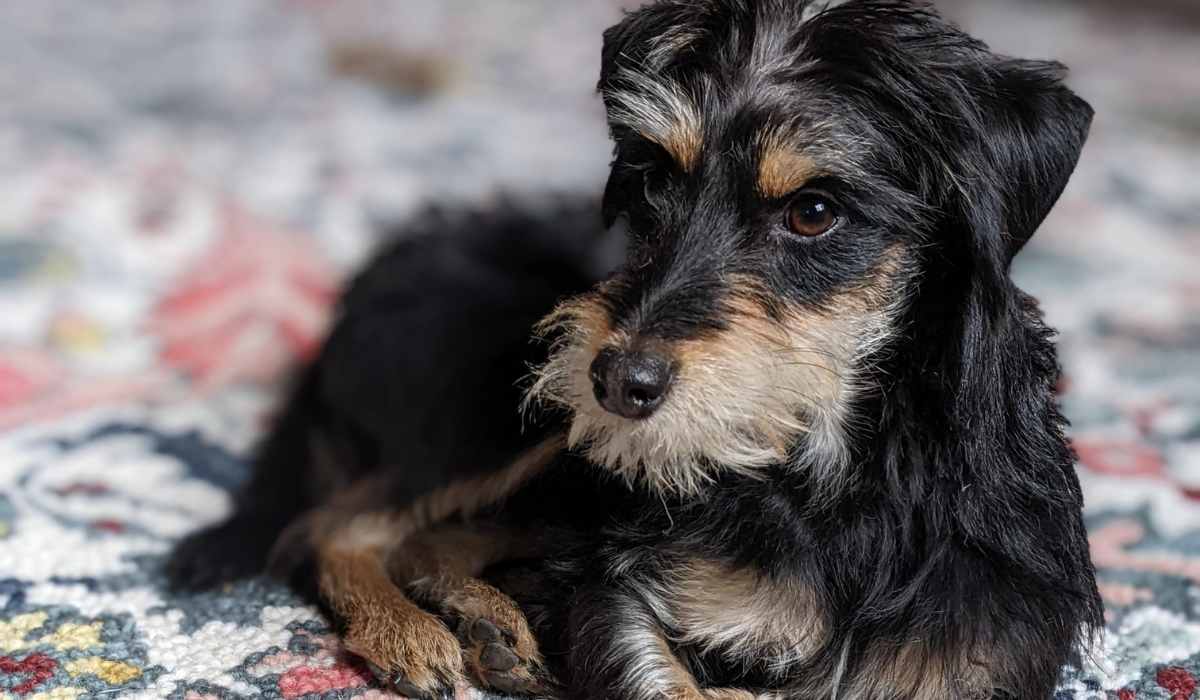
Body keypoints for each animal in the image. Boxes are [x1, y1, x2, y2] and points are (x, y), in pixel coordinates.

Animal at [164, 1, 1099, 700]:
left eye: (814, 212)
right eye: (653, 180)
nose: (615, 380)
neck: (841, 472)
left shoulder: (987, 646)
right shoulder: (620, 588)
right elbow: (670, 677)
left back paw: (491, 627)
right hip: (502, 412)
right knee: (332, 524)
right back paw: (413, 636)